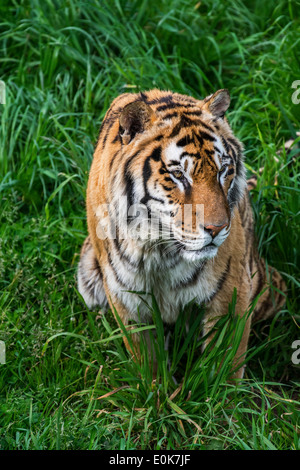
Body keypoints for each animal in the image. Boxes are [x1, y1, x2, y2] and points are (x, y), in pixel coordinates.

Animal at [77, 88, 286, 380]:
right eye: (177, 175)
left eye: (223, 170)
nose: (217, 228)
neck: (159, 248)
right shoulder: (126, 295)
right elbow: (147, 361)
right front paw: (156, 389)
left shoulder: (231, 292)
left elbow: (226, 364)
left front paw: (222, 390)